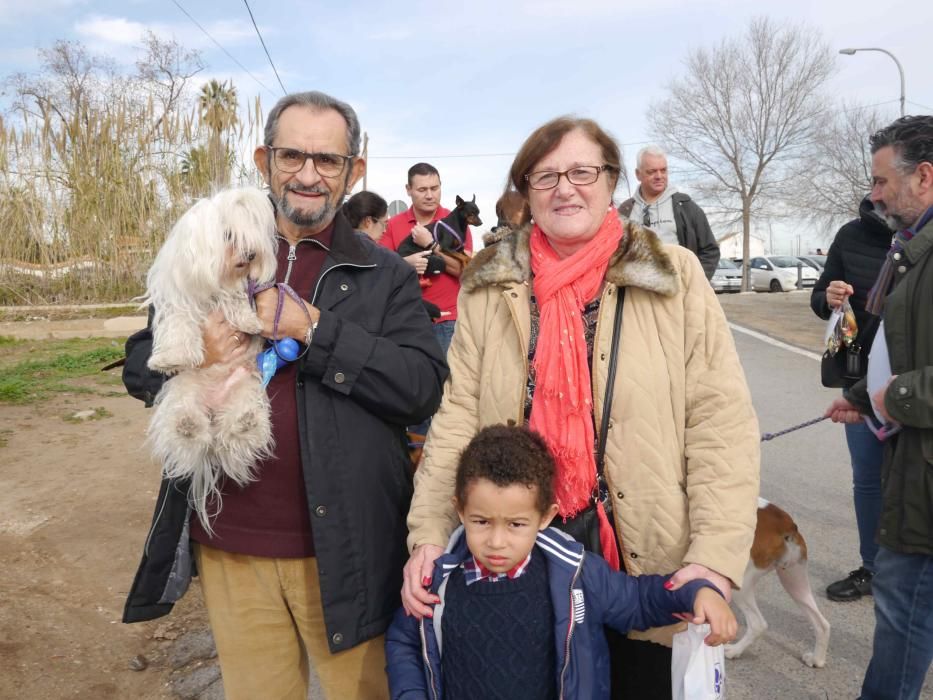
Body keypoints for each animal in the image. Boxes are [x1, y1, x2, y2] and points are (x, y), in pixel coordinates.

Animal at [144, 186, 278, 532]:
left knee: (237, 433)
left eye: (251, 236)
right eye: (229, 235)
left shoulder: (233, 291)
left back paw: (243, 424)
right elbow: (180, 326)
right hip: (182, 392)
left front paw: (249, 322)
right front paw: (170, 358)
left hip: (246, 387)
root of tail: (214, 413)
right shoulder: (177, 300)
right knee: (188, 428)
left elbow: (237, 301)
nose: (251, 255)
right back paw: (189, 426)